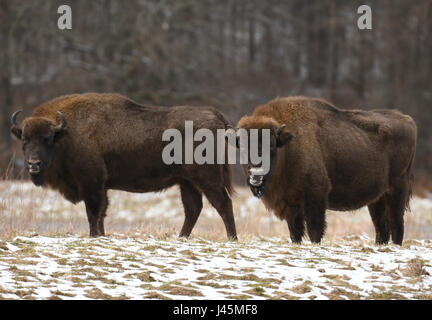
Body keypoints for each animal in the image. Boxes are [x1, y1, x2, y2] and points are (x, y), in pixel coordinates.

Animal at [10, 92, 238, 240]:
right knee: (193, 208)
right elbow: (101, 213)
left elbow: (93, 212)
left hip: (206, 179)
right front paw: (101, 235)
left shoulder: (91, 183)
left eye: (48, 139)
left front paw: (94, 236)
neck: (66, 134)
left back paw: (231, 238)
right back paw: (181, 238)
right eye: (24, 139)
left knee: (223, 204)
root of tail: (215, 116)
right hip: (187, 182)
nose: (33, 164)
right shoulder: (101, 187)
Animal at [238, 95, 416, 245]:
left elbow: (314, 230)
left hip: (397, 191)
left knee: (397, 225)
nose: (255, 176)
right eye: (243, 148)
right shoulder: (291, 205)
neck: (289, 147)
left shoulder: (315, 196)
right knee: (382, 228)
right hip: (377, 199)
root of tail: (408, 120)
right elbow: (295, 232)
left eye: (271, 146)